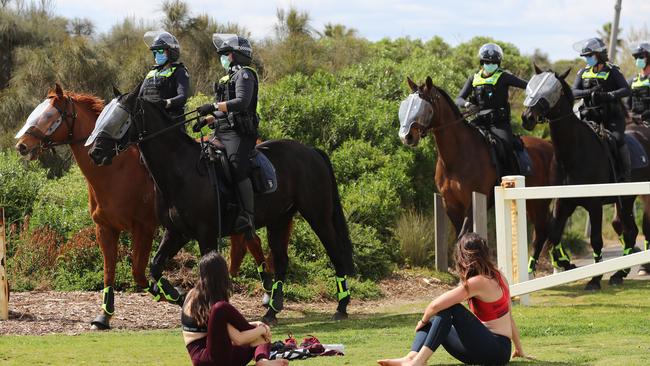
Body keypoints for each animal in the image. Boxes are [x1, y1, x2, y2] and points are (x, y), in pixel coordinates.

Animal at [13, 85, 270, 328]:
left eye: (50, 115)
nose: (22, 146)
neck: (115, 173)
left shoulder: (144, 228)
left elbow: (138, 272)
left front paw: (174, 294)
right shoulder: (105, 228)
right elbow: (109, 272)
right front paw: (104, 316)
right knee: (251, 242)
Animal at [398, 77, 556, 272]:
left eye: (422, 107)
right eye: (406, 104)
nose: (406, 137)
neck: (457, 157)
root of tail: (549, 146)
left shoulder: (472, 203)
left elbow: (463, 238)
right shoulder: (451, 205)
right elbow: (460, 237)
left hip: (539, 202)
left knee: (542, 232)